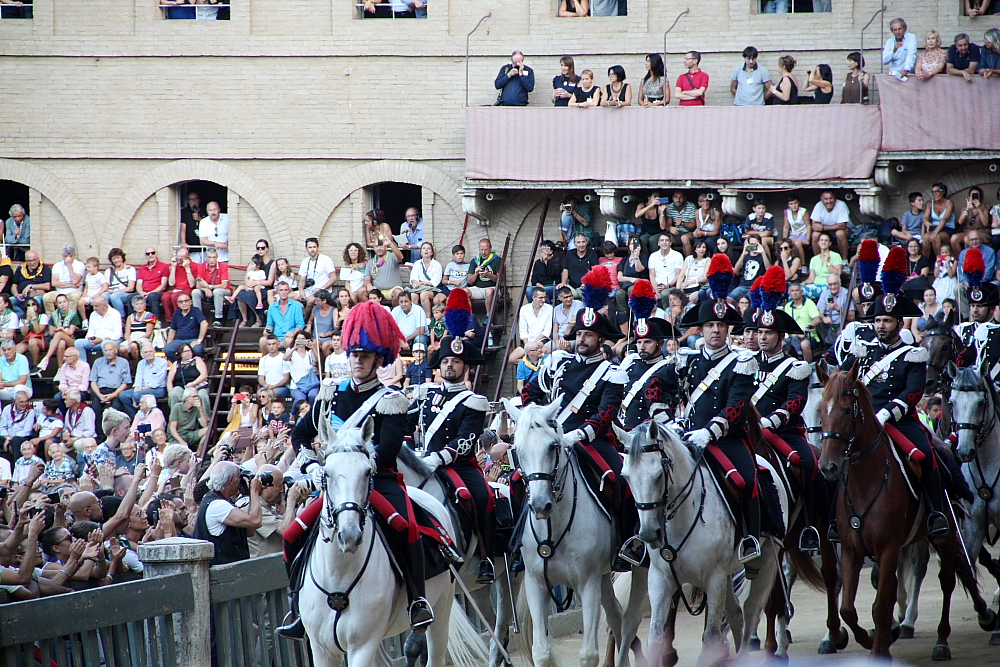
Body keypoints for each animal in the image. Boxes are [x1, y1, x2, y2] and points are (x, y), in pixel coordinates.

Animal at [298, 422, 458, 667]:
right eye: (326, 473)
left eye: (367, 473)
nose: (349, 535)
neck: (338, 575)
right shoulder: (322, 649)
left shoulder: (362, 645)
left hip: (442, 608)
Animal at [500, 400, 640, 667]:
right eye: (518, 450)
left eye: (552, 446)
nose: (540, 505)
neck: (553, 528)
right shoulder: (536, 584)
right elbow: (541, 652)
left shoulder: (588, 583)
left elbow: (589, 655)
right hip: (604, 576)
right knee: (616, 615)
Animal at [616, 420, 788, 664]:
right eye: (626, 477)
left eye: (658, 475)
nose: (649, 534)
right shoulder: (660, 578)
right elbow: (655, 637)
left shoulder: (714, 578)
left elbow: (711, 637)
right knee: (736, 614)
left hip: (767, 561)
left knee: (751, 611)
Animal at [816, 362, 996, 660]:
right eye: (820, 410)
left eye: (845, 410)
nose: (828, 467)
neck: (866, 480)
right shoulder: (852, 551)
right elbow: (849, 609)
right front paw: (871, 639)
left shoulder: (887, 548)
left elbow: (879, 605)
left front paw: (877, 650)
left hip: (945, 534)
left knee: (947, 580)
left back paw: (943, 641)